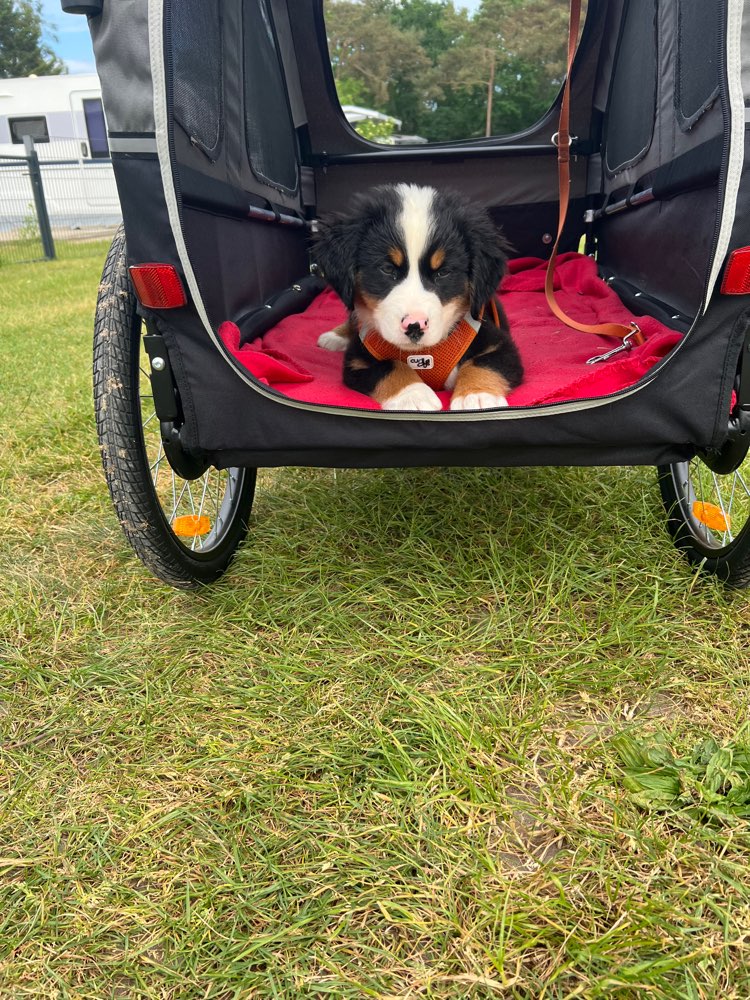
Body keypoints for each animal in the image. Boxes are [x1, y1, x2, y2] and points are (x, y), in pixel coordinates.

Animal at [314, 183, 524, 410]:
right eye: (387, 269)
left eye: (443, 272)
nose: (414, 325)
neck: (421, 354)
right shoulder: (357, 361)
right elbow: (389, 366)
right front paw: (413, 395)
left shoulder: (500, 344)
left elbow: (484, 362)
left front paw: (477, 396)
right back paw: (335, 336)